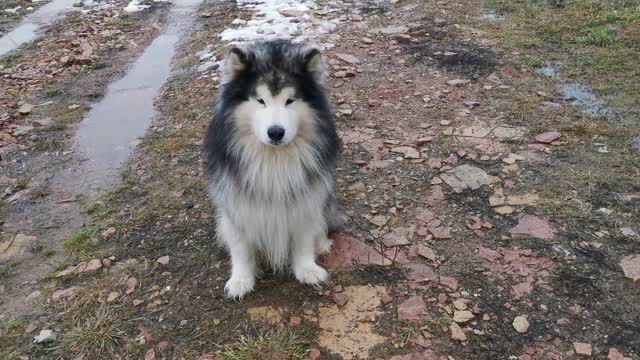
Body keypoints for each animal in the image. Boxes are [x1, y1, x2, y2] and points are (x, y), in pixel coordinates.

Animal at [205, 40, 344, 298]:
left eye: (290, 100)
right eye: (260, 101)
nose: (276, 132)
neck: (273, 159)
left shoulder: (305, 200)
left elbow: (303, 238)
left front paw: (306, 269)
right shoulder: (236, 203)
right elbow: (241, 247)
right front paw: (241, 279)